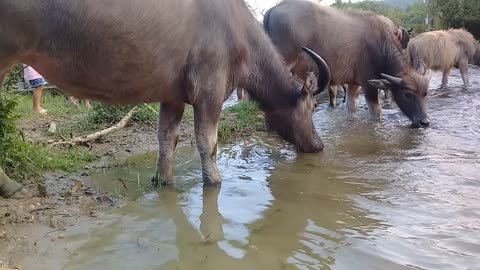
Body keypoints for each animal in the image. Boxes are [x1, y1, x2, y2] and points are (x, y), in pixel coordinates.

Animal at [0, 0, 330, 198]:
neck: (238, 33)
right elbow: (207, 143)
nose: (318, 144)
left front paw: (164, 182)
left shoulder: (173, 97)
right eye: (313, 106)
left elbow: (166, 139)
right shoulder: (209, 91)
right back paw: (11, 188)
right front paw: (214, 182)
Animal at [262, 0, 432, 126]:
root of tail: (273, 9)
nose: (425, 121)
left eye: (425, 94)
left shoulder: (354, 83)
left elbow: (350, 109)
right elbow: (376, 112)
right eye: (407, 94)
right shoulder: (369, 85)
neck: (381, 46)